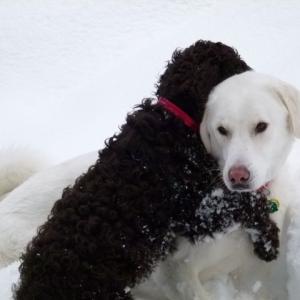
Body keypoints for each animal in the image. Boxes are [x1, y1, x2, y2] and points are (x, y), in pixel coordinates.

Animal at [14, 40, 278, 300]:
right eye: (237, 65)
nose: (256, 76)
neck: (174, 120)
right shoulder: (198, 210)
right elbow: (245, 204)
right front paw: (269, 241)